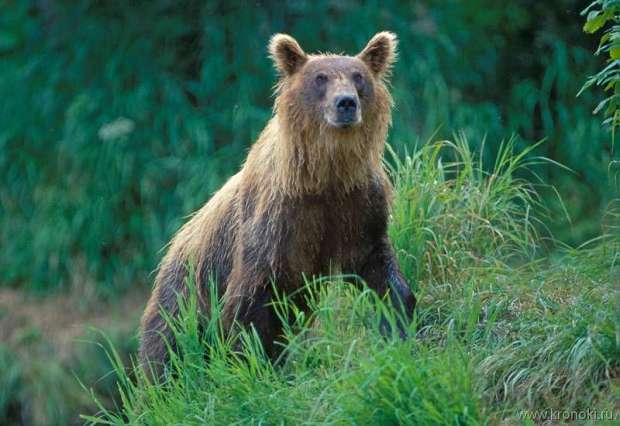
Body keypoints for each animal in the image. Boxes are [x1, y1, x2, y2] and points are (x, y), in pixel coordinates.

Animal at [139, 32, 416, 372]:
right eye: (320, 78)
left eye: (358, 76)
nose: (346, 103)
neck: (326, 175)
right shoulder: (276, 225)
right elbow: (249, 307)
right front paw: (256, 363)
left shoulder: (358, 210)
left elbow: (382, 270)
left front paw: (398, 326)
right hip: (185, 293)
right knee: (168, 349)